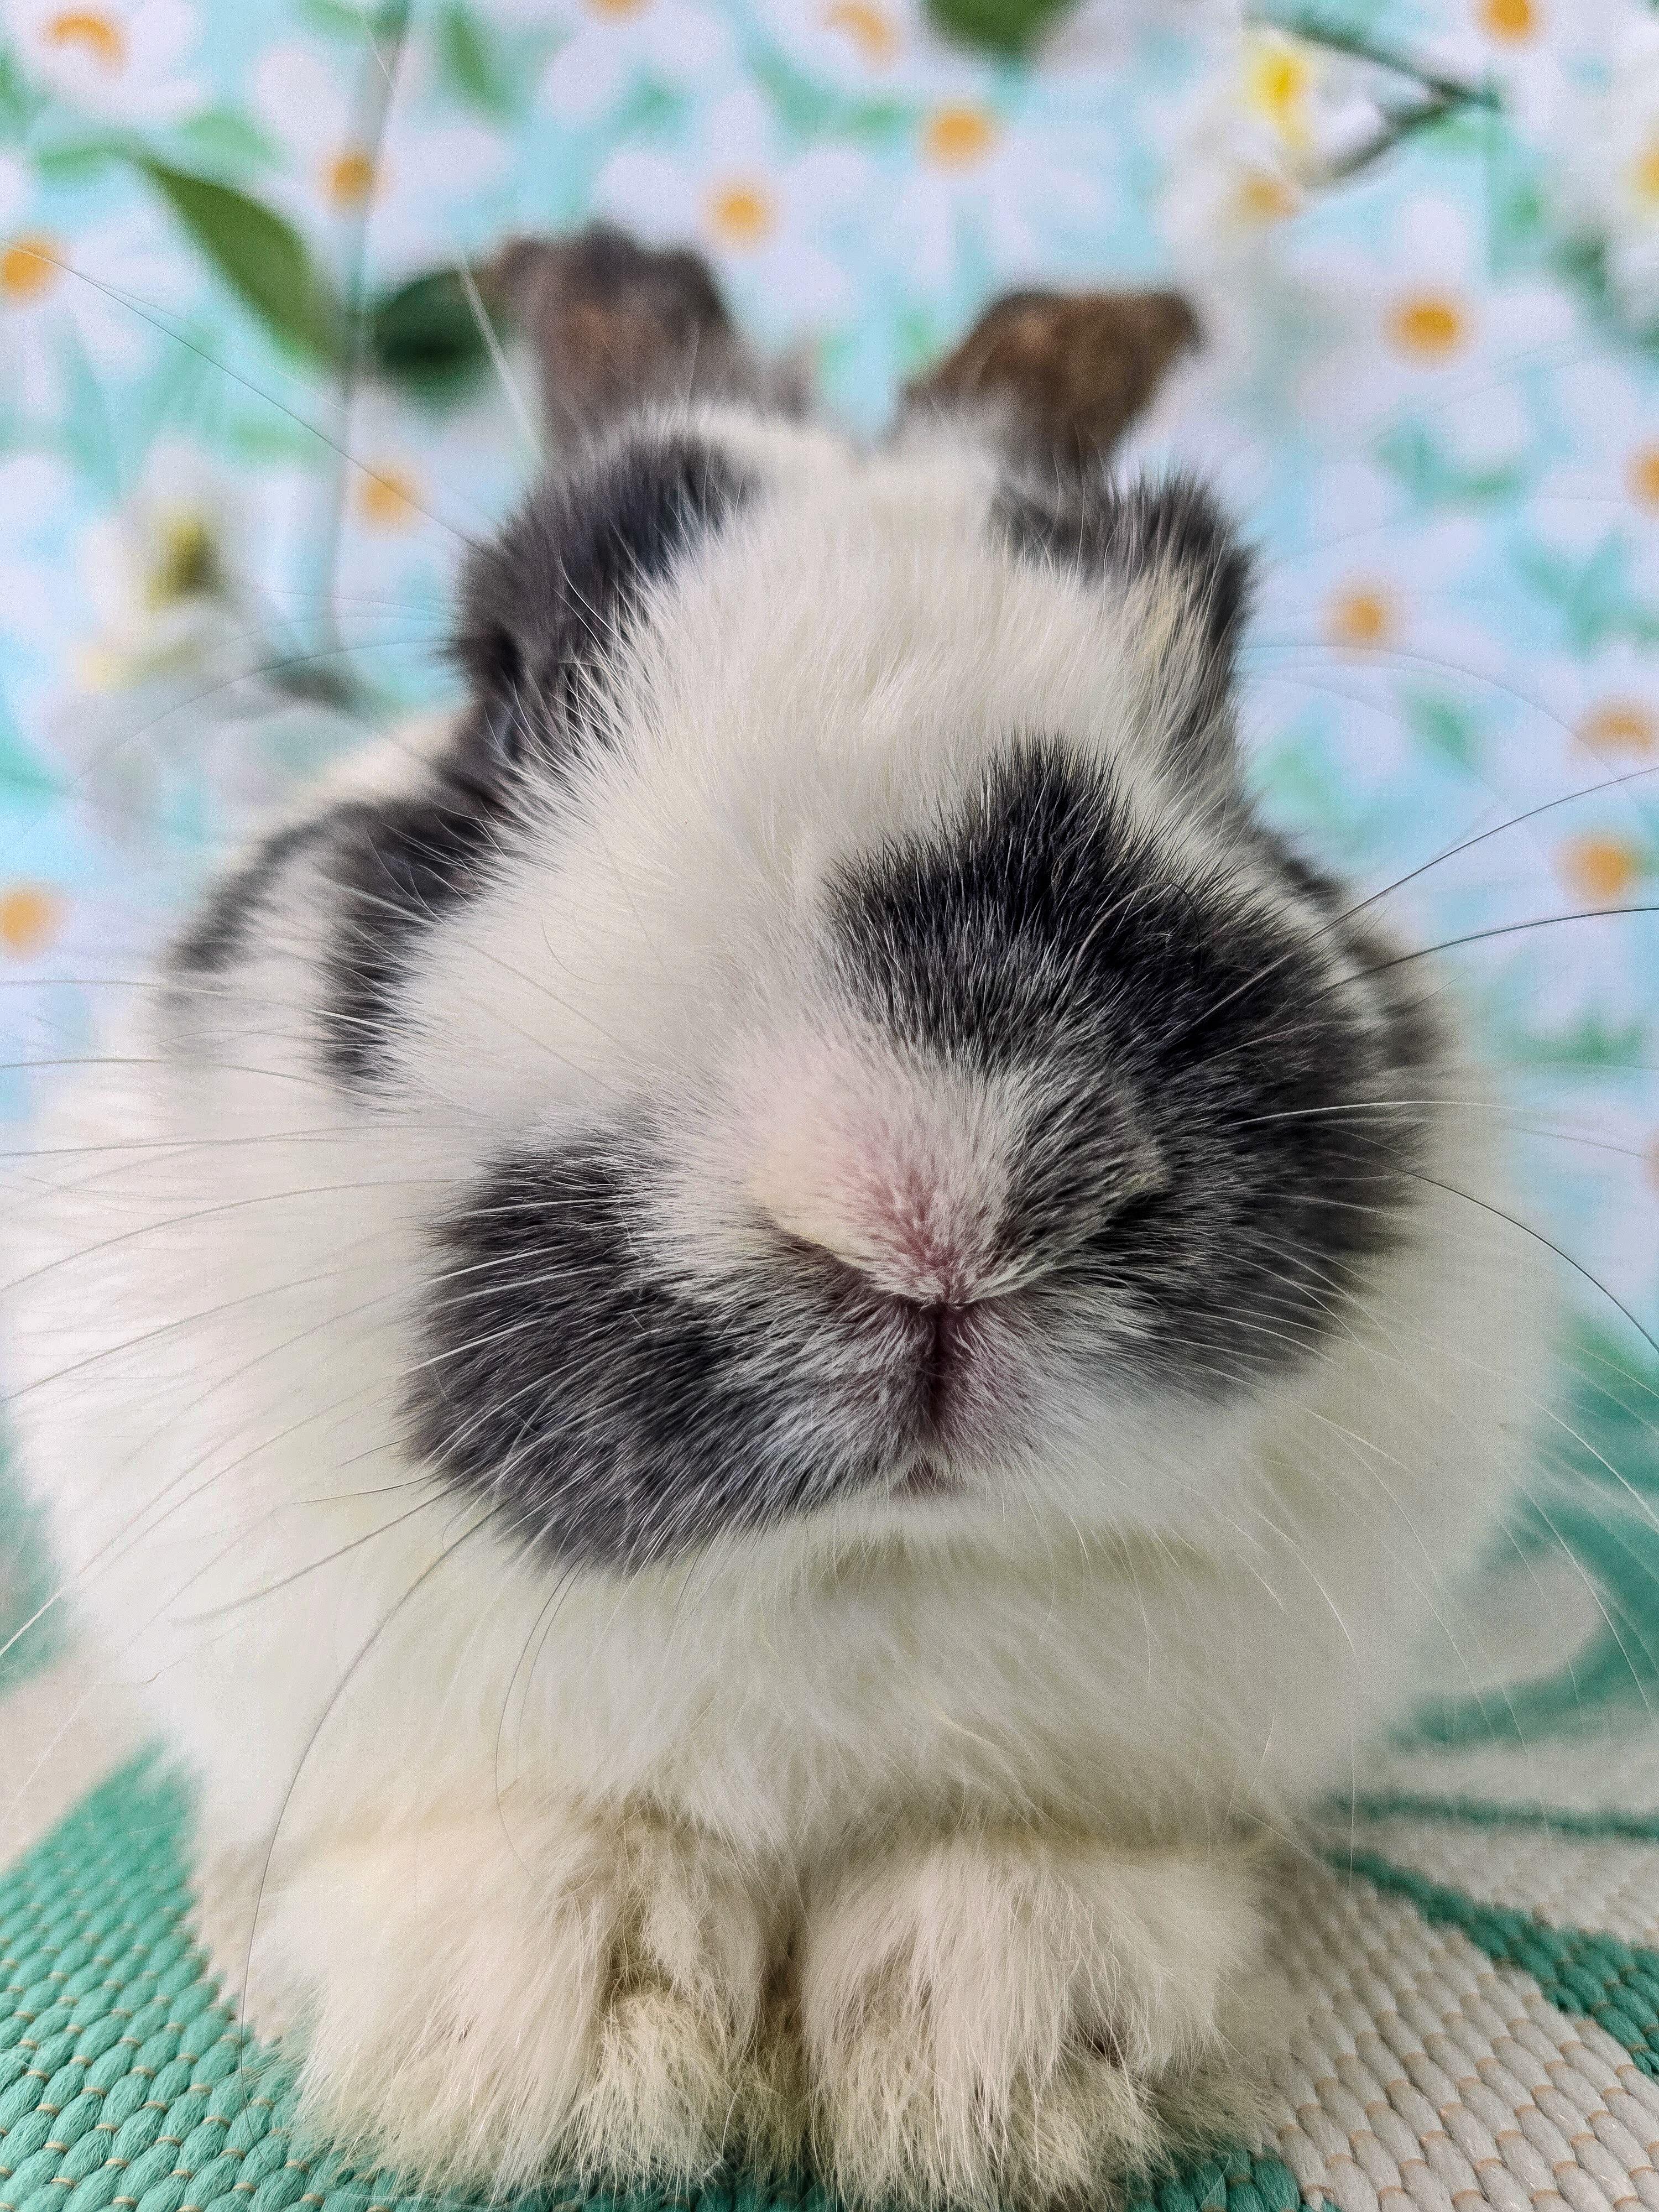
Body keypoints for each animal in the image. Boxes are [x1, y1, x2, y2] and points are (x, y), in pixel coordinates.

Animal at [2, 226, 1551, 2210]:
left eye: (1214, 686)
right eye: (501, 670)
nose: (941, 1195)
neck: (841, 1573)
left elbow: (1020, 1872)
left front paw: (998, 2047)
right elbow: (539, 1848)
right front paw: (550, 2036)